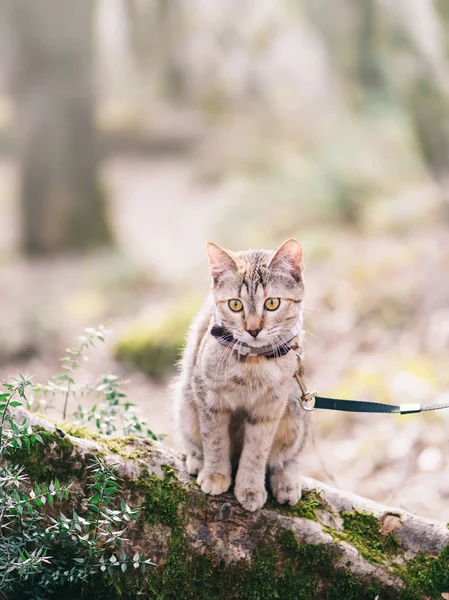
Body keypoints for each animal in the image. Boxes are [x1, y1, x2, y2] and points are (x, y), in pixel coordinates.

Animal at [173, 239, 310, 510]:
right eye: (235, 304)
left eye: (272, 303)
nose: (253, 329)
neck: (253, 363)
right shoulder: (210, 399)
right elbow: (215, 440)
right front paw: (215, 474)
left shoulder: (270, 408)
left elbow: (257, 451)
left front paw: (250, 487)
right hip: (186, 400)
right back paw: (198, 460)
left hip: (295, 411)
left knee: (287, 457)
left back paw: (287, 481)